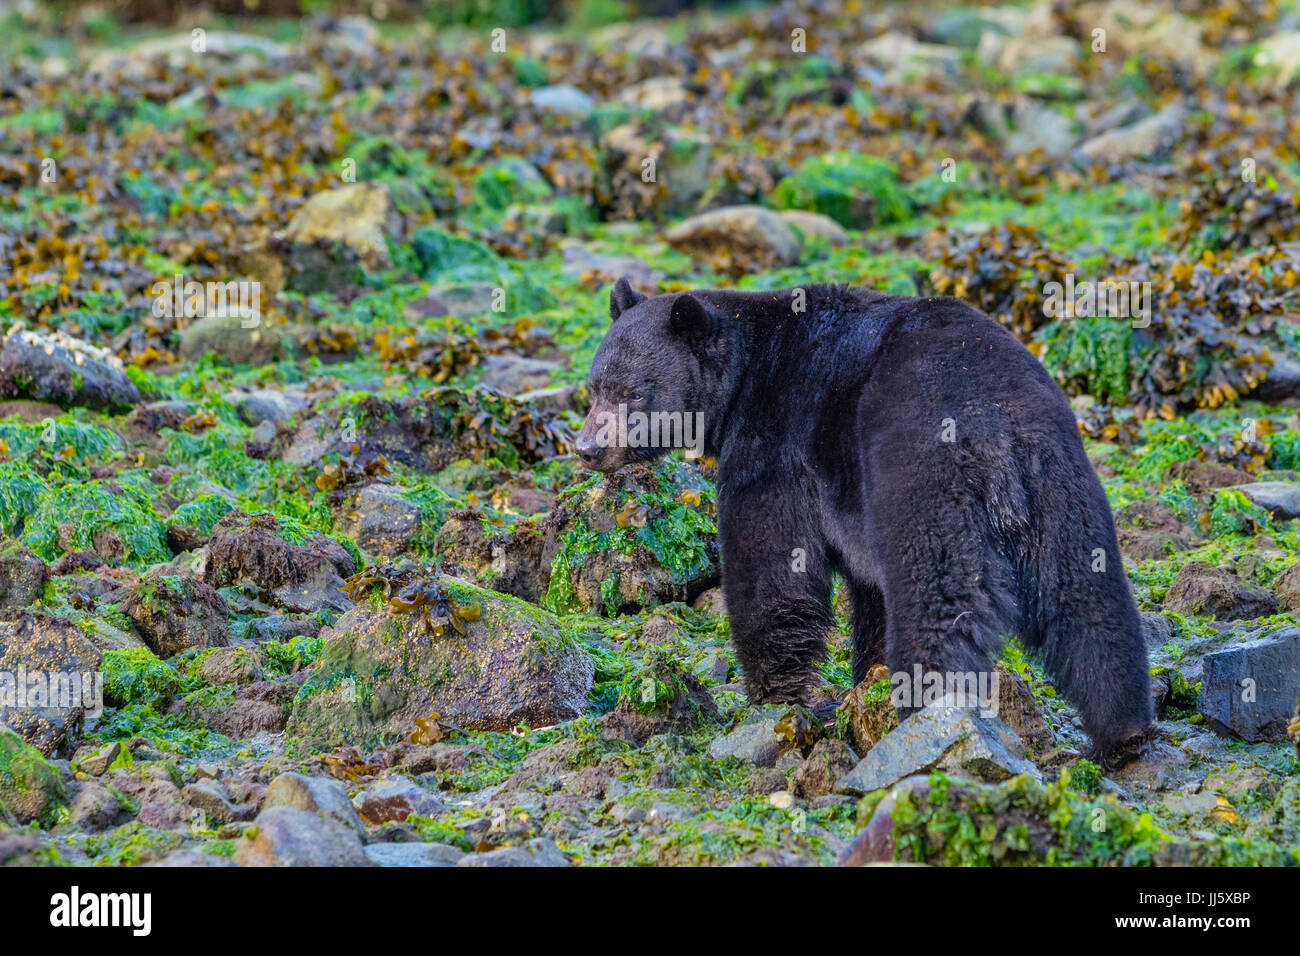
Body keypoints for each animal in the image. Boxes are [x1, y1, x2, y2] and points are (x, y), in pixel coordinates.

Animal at [579, 278, 1159, 770]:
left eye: (634, 393)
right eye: (593, 388)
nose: (587, 448)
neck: (745, 373)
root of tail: (994, 426)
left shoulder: (777, 442)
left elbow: (773, 565)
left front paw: (774, 699)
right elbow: (870, 594)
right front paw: (862, 684)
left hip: (923, 480)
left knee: (936, 608)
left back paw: (931, 721)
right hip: (1061, 487)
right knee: (1088, 601)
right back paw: (1123, 731)